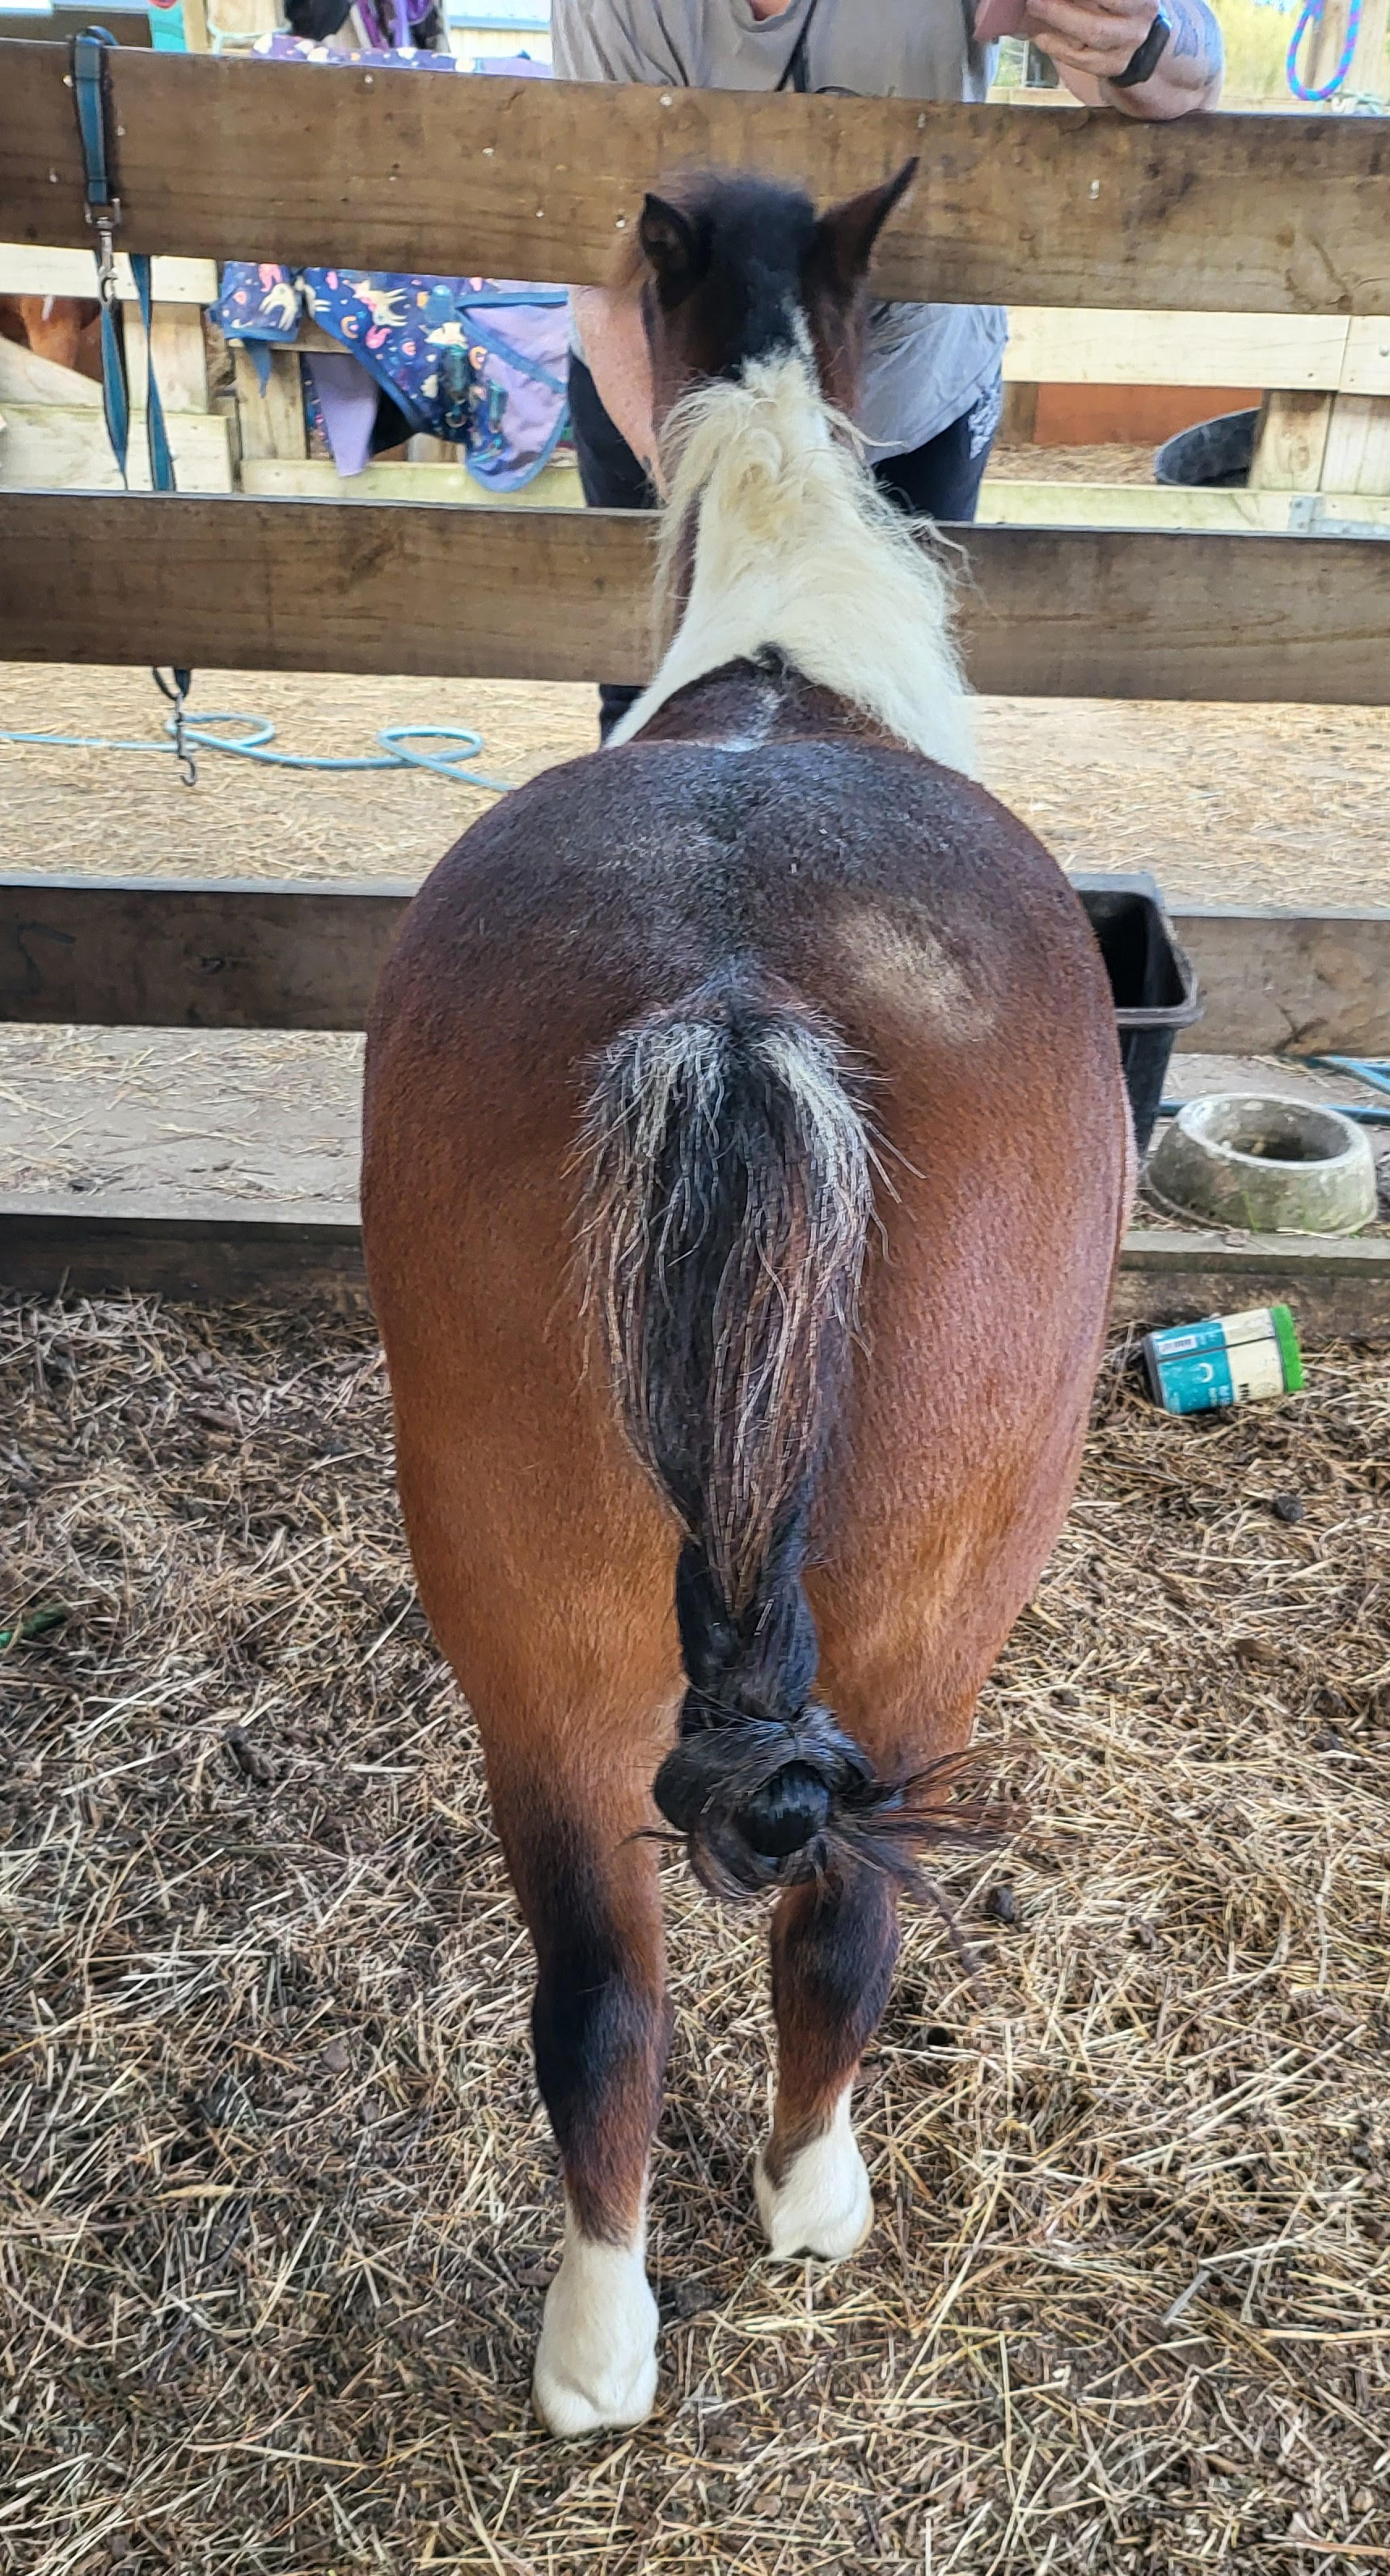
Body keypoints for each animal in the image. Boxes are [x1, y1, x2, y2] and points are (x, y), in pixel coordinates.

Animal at [361, 160, 1133, 2439]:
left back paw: (596, 2346)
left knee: (598, 1995)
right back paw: (808, 2202)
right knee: (839, 1927)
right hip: (927, 1623)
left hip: (529, 1641)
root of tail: (732, 1000)